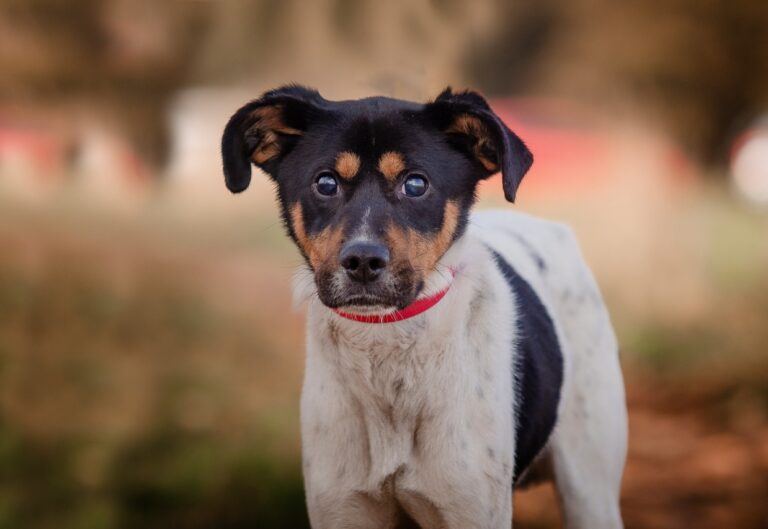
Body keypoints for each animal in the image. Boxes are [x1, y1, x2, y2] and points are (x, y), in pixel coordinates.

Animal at [219, 86, 628, 528]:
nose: (362, 261)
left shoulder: (471, 510)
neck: (386, 351)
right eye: (325, 182)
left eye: (415, 184)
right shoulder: (343, 509)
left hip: (589, 487)